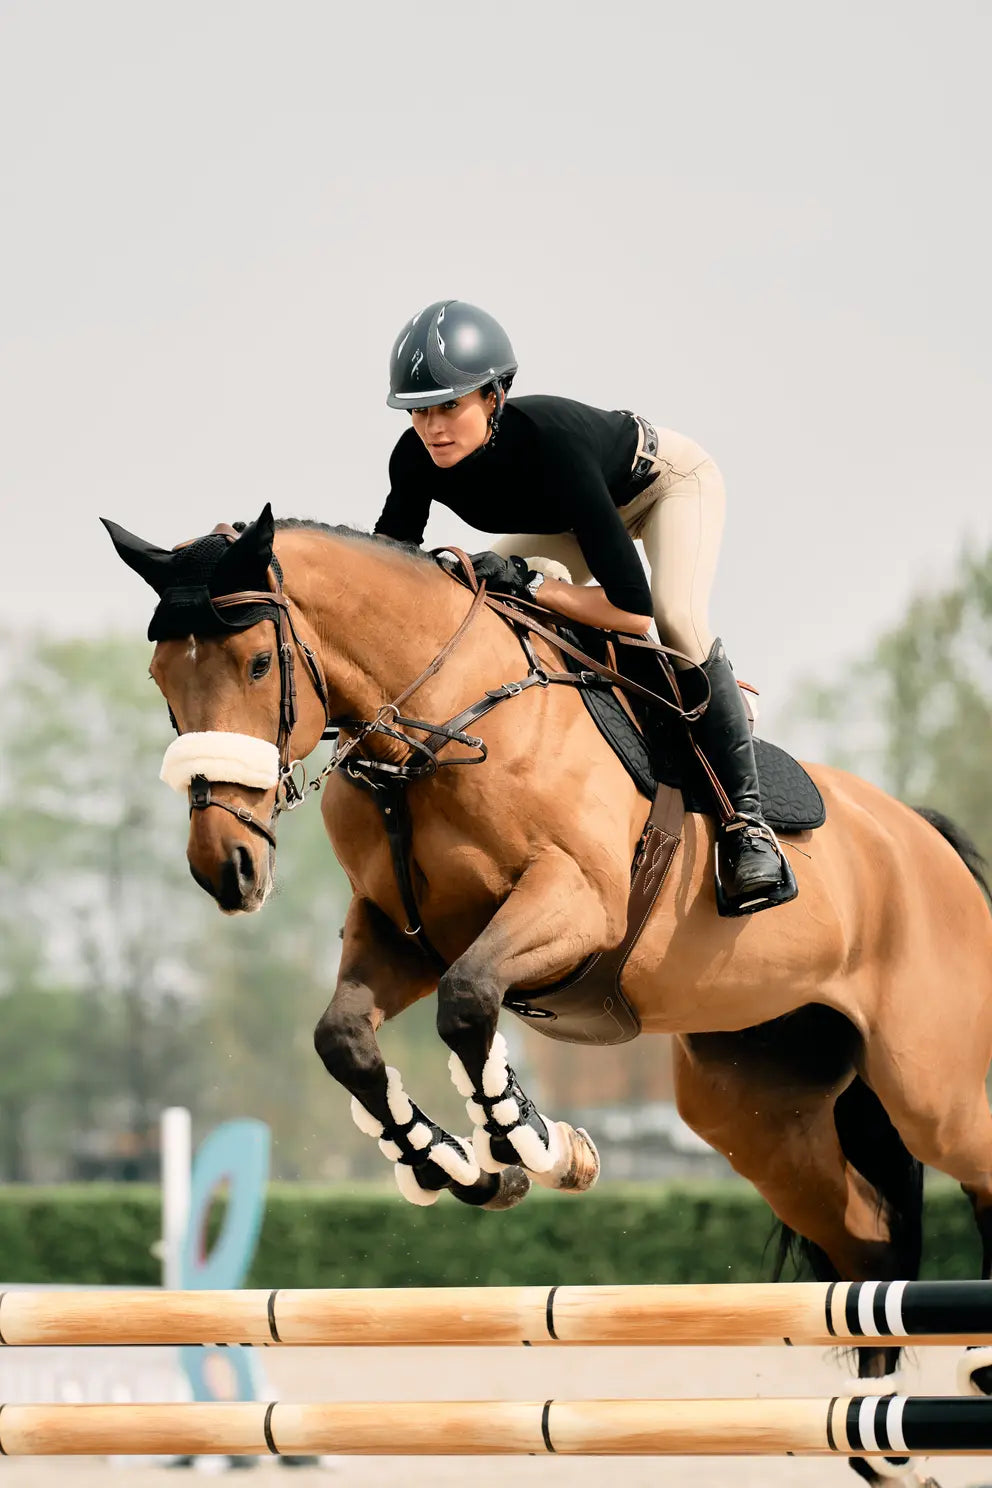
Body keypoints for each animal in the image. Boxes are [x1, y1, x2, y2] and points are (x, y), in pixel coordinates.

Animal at [108, 505, 992, 1482]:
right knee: (867, 1240)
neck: (434, 725)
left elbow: (468, 1001)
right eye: (160, 676)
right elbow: (347, 1037)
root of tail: (931, 841)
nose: (224, 868)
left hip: (935, 1091)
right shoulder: (397, 936)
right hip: (756, 1113)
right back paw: (886, 1443)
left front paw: (532, 1141)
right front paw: (447, 1164)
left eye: (259, 664)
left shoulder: (572, 904)